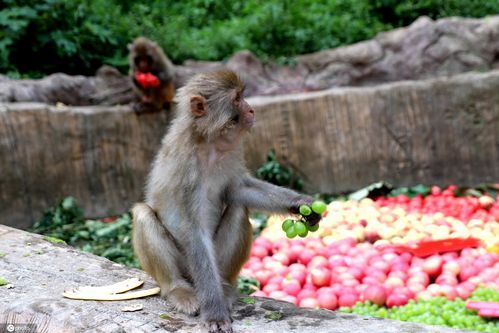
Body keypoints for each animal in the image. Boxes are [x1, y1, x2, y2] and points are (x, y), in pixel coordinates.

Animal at [131, 70, 322, 332]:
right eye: (237, 99)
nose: (251, 109)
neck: (209, 143)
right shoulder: (186, 169)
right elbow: (194, 229)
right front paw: (214, 313)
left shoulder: (232, 152)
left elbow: (238, 190)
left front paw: (301, 203)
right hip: (187, 267)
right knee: (143, 214)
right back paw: (179, 289)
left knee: (238, 209)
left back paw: (224, 286)